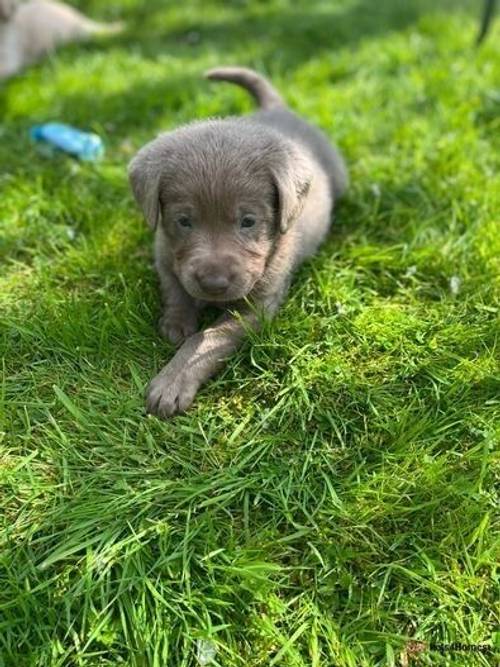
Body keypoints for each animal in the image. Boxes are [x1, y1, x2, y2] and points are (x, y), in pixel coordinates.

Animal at [129, 68, 348, 418]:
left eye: (248, 222)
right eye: (184, 221)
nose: (213, 283)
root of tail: (276, 109)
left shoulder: (258, 305)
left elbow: (210, 337)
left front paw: (172, 382)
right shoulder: (165, 256)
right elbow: (176, 290)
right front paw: (177, 321)